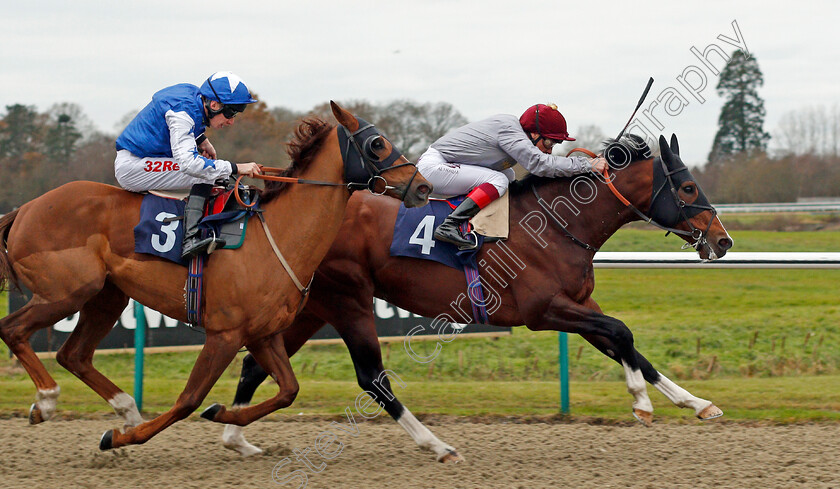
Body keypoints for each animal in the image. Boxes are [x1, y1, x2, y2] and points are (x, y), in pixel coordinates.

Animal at [0, 102, 434, 450]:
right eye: (377, 144)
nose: (423, 187)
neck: (276, 235)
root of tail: (24, 209)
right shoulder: (224, 334)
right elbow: (188, 400)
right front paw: (122, 438)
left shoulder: (262, 334)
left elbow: (288, 391)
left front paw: (224, 416)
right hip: (66, 291)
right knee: (13, 329)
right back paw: (49, 401)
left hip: (107, 296)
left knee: (72, 354)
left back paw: (125, 410)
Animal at [220, 134, 732, 462]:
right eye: (688, 187)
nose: (723, 240)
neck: (556, 225)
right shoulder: (545, 311)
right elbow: (622, 334)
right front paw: (641, 404)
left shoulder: (580, 306)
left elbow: (627, 346)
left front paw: (696, 403)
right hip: (348, 298)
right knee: (370, 378)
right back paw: (436, 446)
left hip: (312, 306)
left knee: (255, 364)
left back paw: (234, 435)